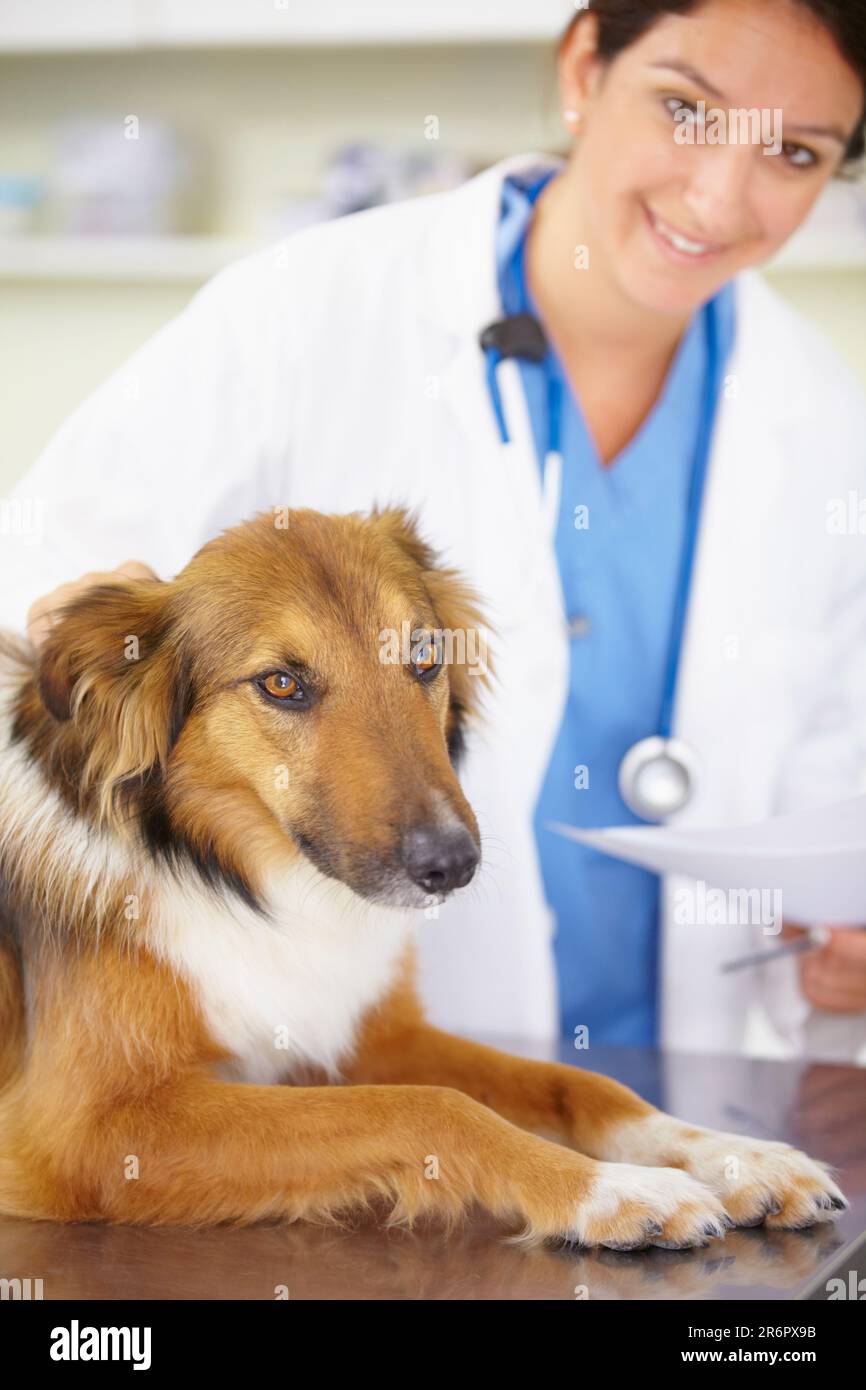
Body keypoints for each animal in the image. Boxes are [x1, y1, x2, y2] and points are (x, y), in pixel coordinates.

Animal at [0, 511, 850, 1251]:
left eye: (425, 658)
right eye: (281, 684)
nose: (453, 865)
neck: (242, 881)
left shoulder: (371, 1039)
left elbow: (578, 1082)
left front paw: (737, 1155)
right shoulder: (90, 1131)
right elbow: (435, 1110)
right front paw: (612, 1189)